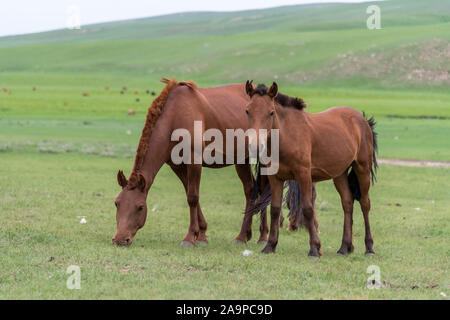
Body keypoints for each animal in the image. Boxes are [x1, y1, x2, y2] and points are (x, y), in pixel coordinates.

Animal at [111, 78, 300, 248]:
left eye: (140, 207)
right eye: (117, 203)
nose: (120, 239)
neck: (175, 115)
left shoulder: (194, 161)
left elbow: (193, 197)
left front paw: (189, 237)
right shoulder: (177, 166)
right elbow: (190, 193)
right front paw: (201, 235)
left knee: (259, 189)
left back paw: (255, 236)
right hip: (242, 160)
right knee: (253, 189)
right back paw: (249, 235)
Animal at [244, 80, 378, 258]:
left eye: (271, 113)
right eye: (247, 110)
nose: (255, 145)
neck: (287, 136)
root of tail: (361, 119)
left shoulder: (304, 175)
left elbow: (308, 209)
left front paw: (315, 248)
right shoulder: (276, 178)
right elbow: (275, 209)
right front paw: (270, 245)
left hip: (362, 169)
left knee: (364, 203)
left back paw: (369, 247)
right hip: (339, 174)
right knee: (347, 203)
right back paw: (344, 247)